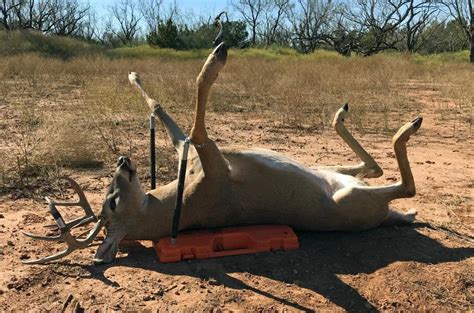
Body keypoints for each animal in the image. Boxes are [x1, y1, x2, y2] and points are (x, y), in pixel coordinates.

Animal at [24, 42, 420, 264]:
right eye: (112, 203)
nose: (123, 161)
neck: (181, 198)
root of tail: (391, 217)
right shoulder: (214, 169)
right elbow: (198, 126)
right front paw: (216, 57)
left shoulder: (191, 155)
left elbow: (165, 111)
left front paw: (135, 75)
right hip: (352, 199)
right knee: (403, 186)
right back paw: (407, 128)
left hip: (333, 170)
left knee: (373, 167)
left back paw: (345, 115)